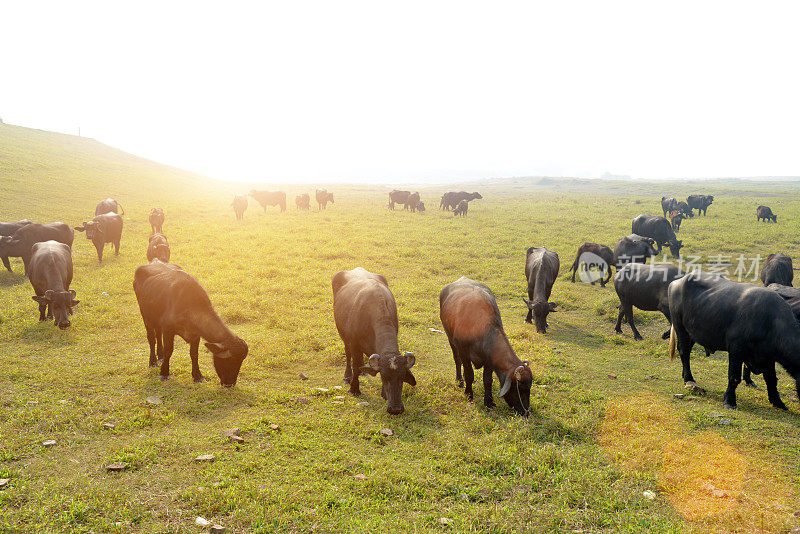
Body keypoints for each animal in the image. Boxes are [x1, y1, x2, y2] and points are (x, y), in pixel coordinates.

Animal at [332, 270, 416, 416]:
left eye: (402, 377)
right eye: (384, 376)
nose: (395, 409)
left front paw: (384, 394)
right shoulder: (354, 343)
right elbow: (355, 365)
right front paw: (354, 389)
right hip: (344, 336)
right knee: (348, 355)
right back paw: (348, 376)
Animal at [438, 278, 532, 416]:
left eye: (529, 387)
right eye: (520, 388)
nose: (525, 411)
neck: (481, 329)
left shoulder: (489, 359)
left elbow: (487, 380)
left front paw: (489, 401)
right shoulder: (463, 351)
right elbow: (469, 373)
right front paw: (469, 394)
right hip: (450, 339)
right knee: (457, 360)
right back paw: (460, 380)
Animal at [668, 274, 800, 412]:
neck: (771, 323)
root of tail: (676, 282)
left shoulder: (768, 357)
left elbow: (771, 379)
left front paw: (778, 402)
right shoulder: (736, 350)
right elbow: (734, 377)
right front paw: (729, 401)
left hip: (693, 333)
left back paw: (685, 376)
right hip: (680, 327)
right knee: (684, 352)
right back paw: (689, 379)